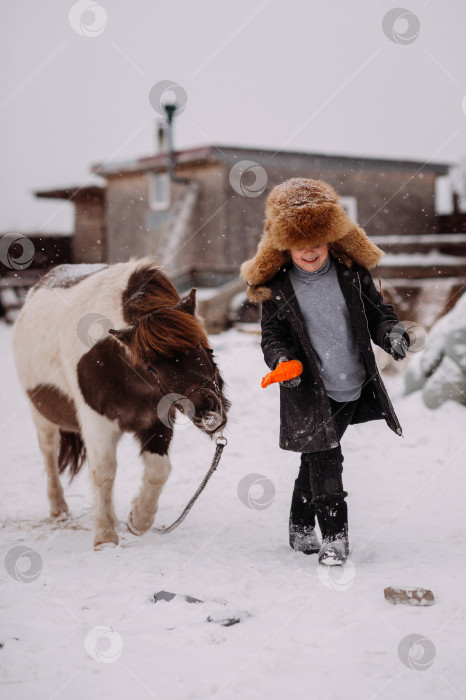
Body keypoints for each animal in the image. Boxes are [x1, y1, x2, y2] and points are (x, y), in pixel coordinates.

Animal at [10, 260, 229, 548]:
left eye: (201, 346)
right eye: (152, 368)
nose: (208, 411)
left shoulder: (157, 422)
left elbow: (159, 470)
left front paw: (138, 520)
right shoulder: (96, 425)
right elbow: (104, 472)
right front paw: (105, 536)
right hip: (43, 418)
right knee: (49, 456)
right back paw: (59, 510)